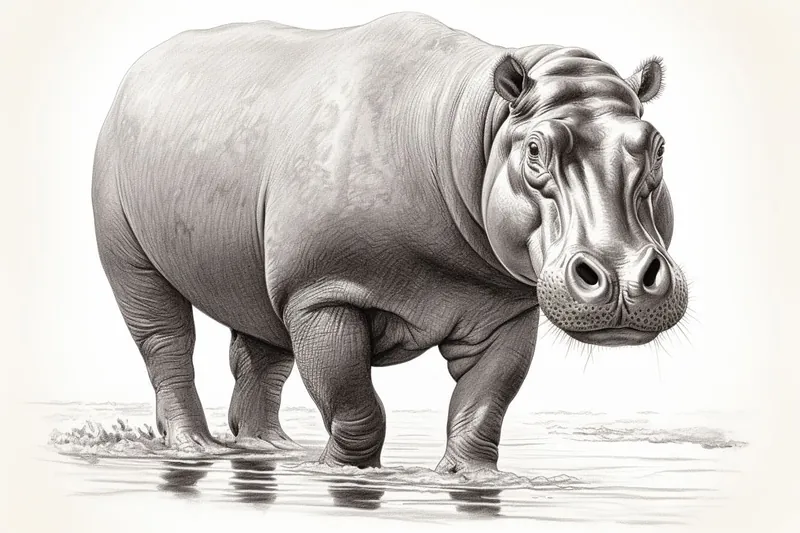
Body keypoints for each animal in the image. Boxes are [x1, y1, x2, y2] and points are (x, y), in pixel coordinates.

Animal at [92, 12, 687, 472]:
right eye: (535, 150)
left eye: (658, 147)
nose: (623, 281)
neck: (472, 128)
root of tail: (133, 75)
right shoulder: (322, 291)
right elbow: (355, 403)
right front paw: (344, 473)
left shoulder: (504, 307)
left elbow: (484, 405)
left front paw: (470, 479)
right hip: (119, 198)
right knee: (163, 330)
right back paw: (196, 450)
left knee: (260, 331)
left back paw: (270, 450)